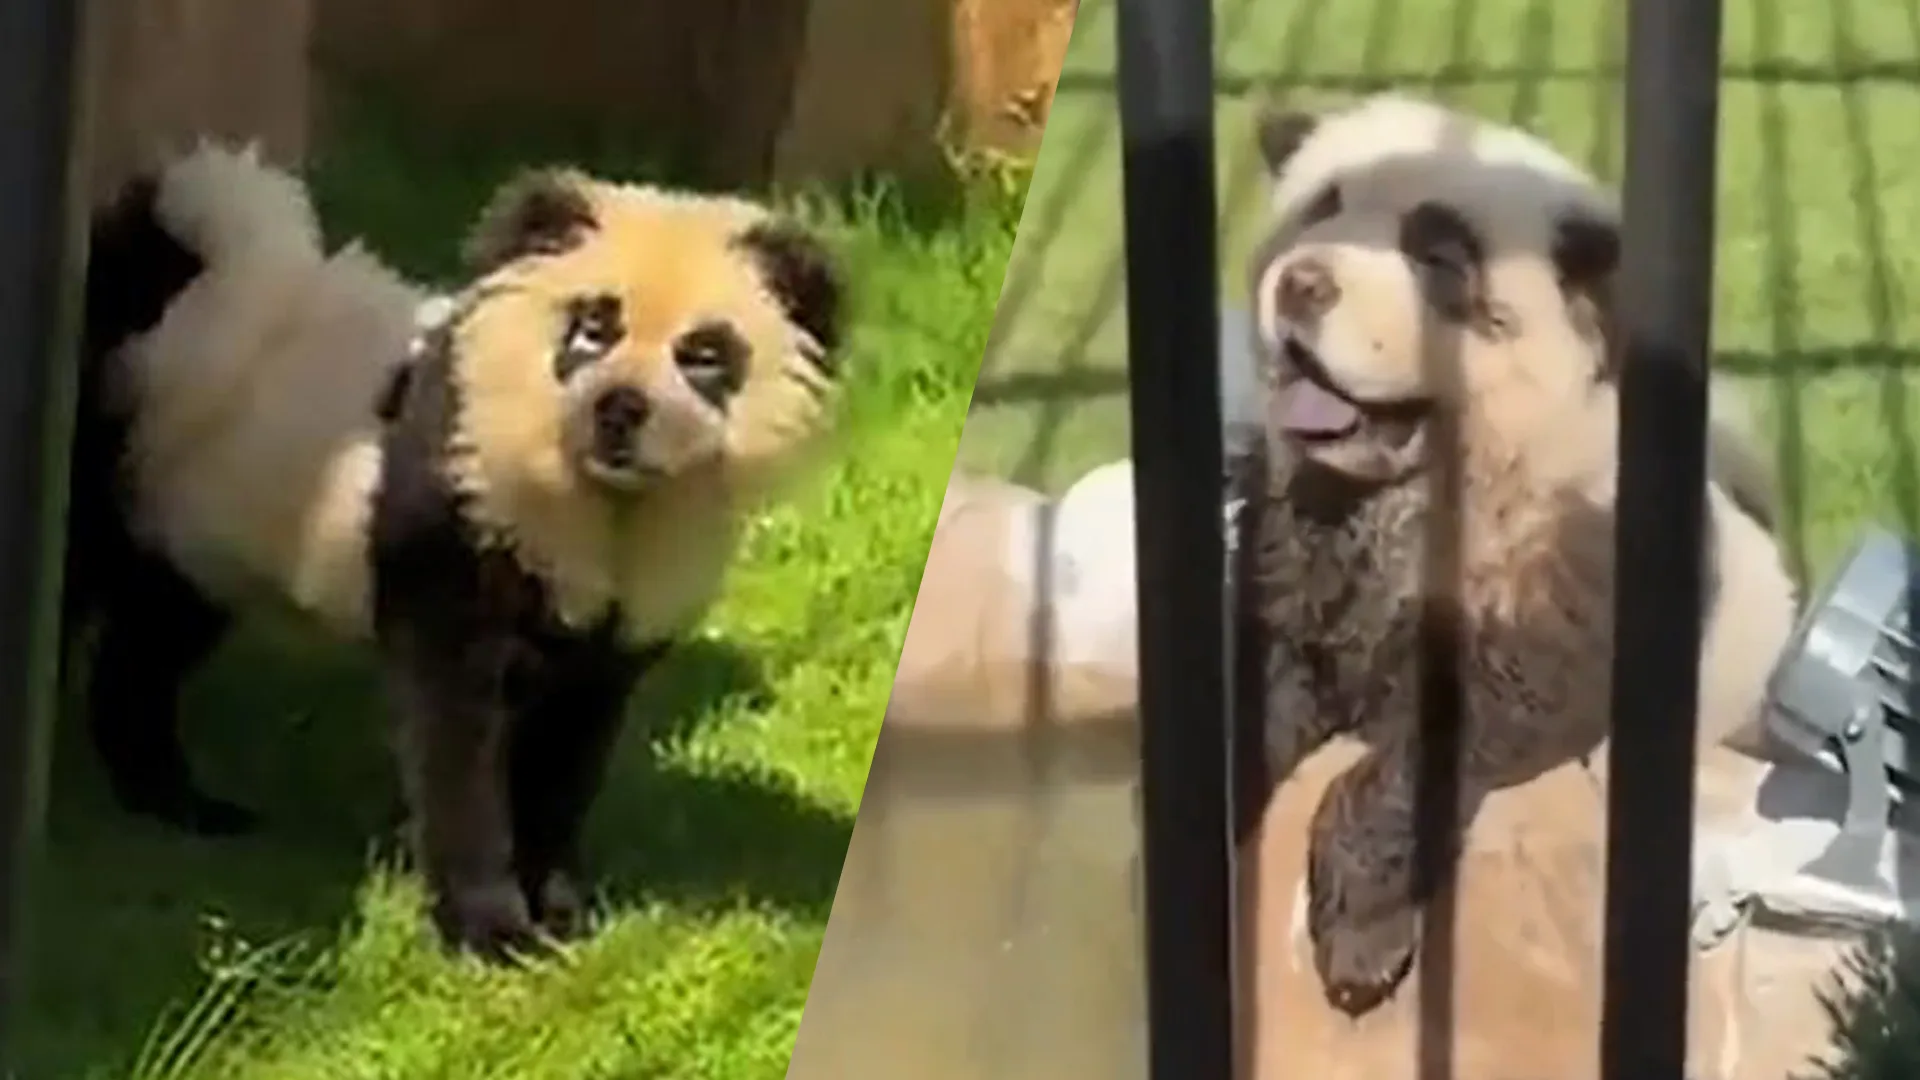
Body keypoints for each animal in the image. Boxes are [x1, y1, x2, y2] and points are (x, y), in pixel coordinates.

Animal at [71, 143, 847, 960]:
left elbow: (568, 751)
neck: (598, 502)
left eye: (703, 354)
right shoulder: (454, 528)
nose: (619, 412)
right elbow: (456, 741)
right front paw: (491, 931)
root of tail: (165, 267)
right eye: (592, 328)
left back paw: (179, 802)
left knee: (148, 649)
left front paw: (562, 913)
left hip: (196, 528)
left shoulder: (610, 628)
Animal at [1232, 94, 1798, 1016]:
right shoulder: (1298, 568)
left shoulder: (1563, 592)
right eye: (1319, 210)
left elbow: (1418, 758)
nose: (1301, 284)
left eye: (1437, 256)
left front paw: (1361, 944)